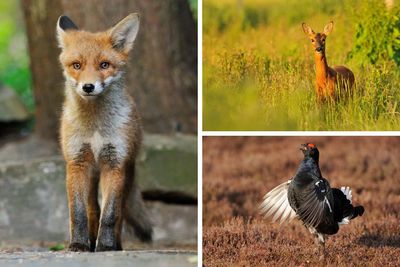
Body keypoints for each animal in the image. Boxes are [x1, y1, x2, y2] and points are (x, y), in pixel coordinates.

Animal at [57, 13, 153, 252]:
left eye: (104, 65)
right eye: (77, 65)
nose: (88, 87)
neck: (96, 128)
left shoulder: (115, 163)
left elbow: (110, 215)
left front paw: (107, 246)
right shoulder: (77, 163)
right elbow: (78, 214)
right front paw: (78, 244)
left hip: (126, 174)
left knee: (119, 212)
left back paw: (114, 244)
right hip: (92, 175)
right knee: (93, 209)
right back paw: (91, 241)